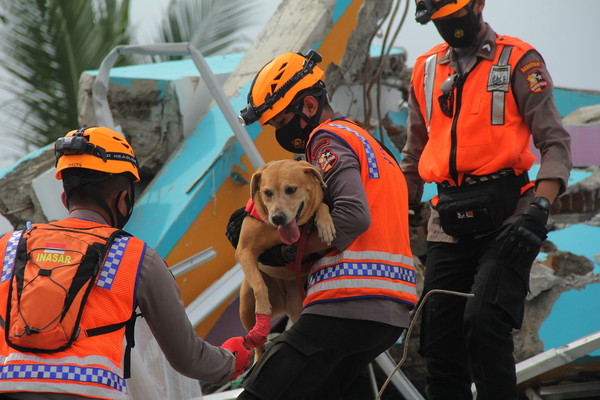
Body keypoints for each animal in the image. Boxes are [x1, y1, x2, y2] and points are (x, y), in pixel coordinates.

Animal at [237, 159, 336, 356]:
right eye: (267, 193)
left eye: (291, 189)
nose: (278, 217)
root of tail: (282, 301)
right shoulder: (244, 251)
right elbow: (259, 286)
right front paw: (263, 311)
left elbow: (322, 205)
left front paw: (324, 223)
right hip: (245, 305)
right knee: (258, 347)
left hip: (298, 305)